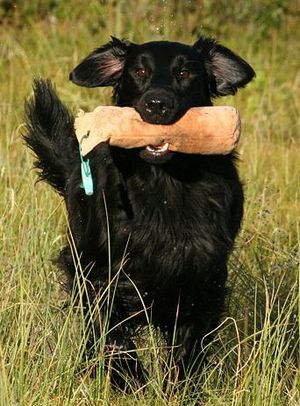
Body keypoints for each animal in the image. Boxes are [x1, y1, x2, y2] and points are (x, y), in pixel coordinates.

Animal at [23, 36, 254, 388]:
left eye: (185, 72)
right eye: (140, 70)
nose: (157, 104)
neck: (165, 183)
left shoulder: (203, 275)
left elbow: (188, 345)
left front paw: (178, 386)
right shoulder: (98, 271)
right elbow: (112, 334)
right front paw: (130, 379)